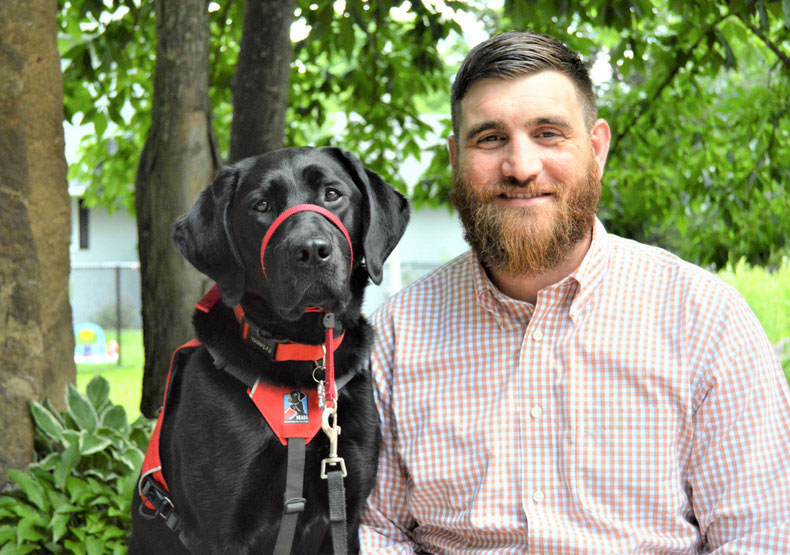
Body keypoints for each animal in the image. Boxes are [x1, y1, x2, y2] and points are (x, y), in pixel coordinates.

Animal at [129, 146, 408, 552]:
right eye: (260, 205)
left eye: (332, 194)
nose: (311, 251)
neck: (299, 355)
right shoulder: (221, 530)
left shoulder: (348, 511)